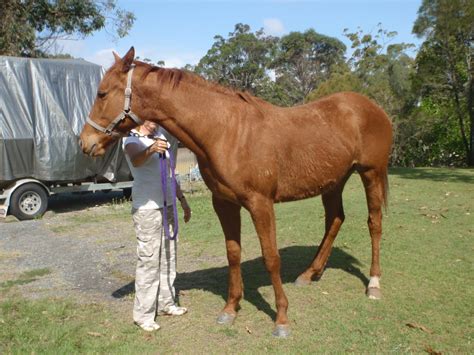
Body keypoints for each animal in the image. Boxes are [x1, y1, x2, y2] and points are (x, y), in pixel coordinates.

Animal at [80, 48, 392, 340]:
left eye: (102, 93)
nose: (85, 142)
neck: (226, 131)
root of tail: (374, 108)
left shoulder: (260, 203)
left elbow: (271, 257)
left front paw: (281, 319)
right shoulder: (225, 203)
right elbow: (233, 253)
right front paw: (230, 309)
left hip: (371, 173)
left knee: (374, 223)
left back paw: (374, 284)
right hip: (335, 181)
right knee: (335, 220)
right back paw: (309, 274)